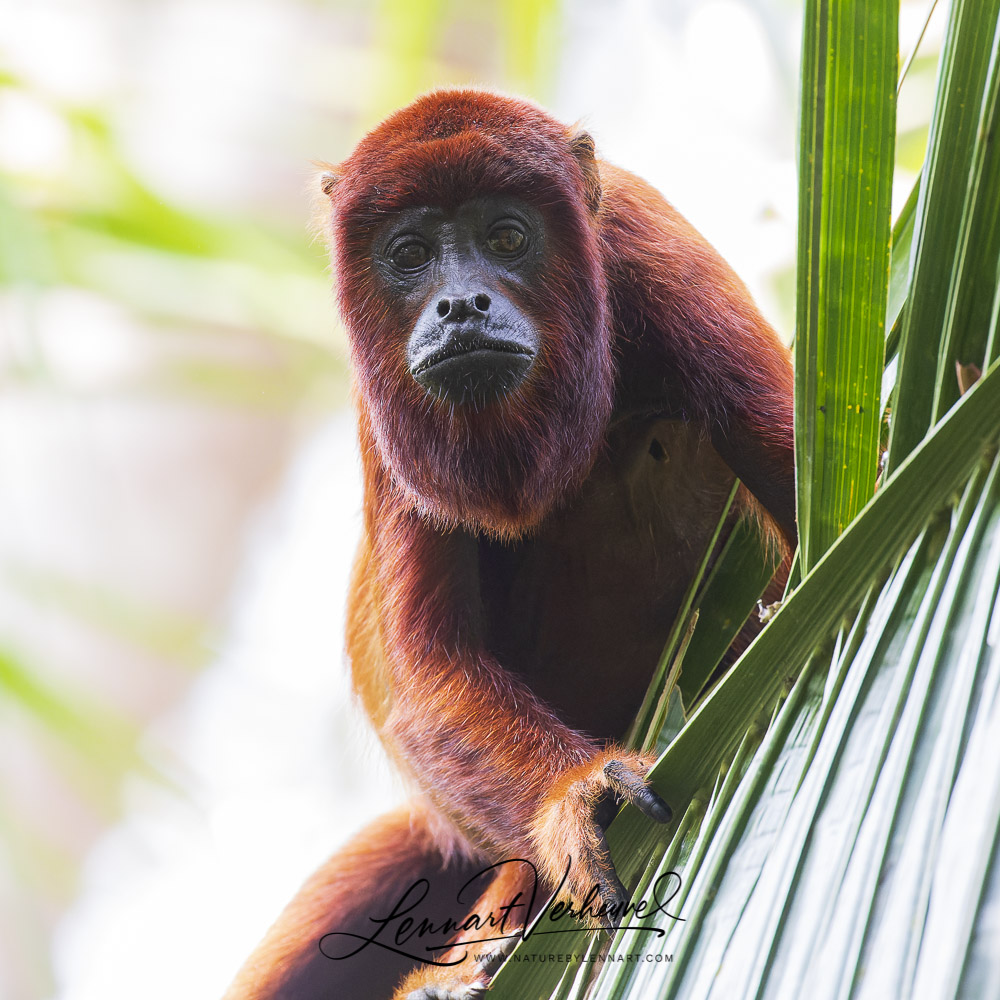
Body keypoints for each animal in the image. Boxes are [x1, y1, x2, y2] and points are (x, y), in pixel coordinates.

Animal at [223, 90, 792, 996]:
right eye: (410, 255)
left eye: (506, 238)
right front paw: (574, 798)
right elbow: (429, 674)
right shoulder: (380, 414)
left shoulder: (660, 259)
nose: (461, 306)